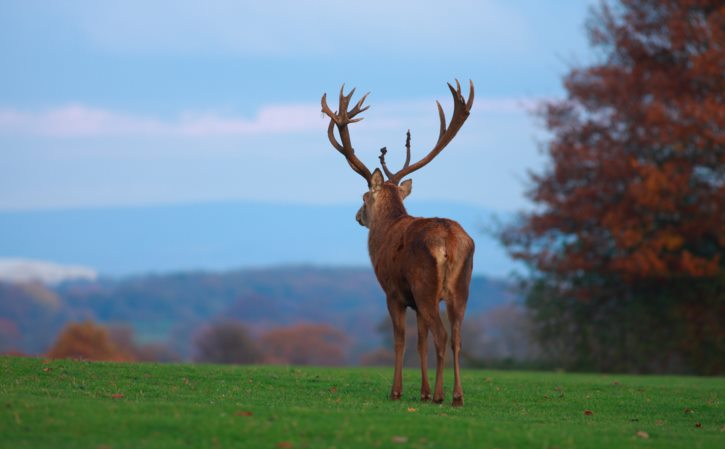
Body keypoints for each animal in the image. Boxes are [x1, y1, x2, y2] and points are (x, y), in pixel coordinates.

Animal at [322, 80, 476, 406]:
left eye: (364, 196)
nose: (357, 216)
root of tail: (449, 242)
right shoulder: (414, 301)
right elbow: (419, 342)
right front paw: (422, 391)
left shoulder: (393, 292)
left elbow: (400, 340)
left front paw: (398, 391)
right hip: (461, 289)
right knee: (457, 338)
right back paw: (457, 396)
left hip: (425, 285)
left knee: (442, 336)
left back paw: (441, 396)